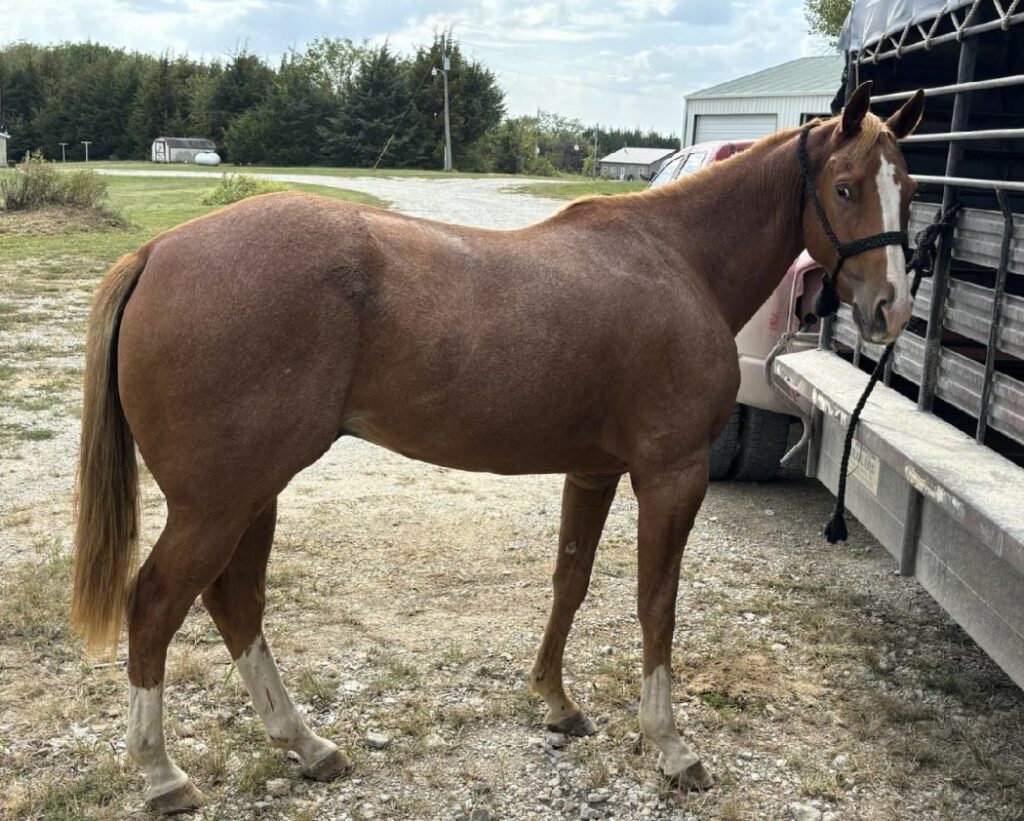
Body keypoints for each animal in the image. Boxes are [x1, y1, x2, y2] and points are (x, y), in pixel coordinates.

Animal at [71, 82, 924, 813]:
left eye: (910, 190)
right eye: (846, 187)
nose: (889, 309)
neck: (679, 260)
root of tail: (158, 252)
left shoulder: (593, 470)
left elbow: (570, 580)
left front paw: (555, 699)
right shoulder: (670, 474)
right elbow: (657, 604)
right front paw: (671, 744)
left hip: (252, 491)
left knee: (234, 601)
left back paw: (307, 744)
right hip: (220, 499)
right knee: (157, 603)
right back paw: (162, 773)